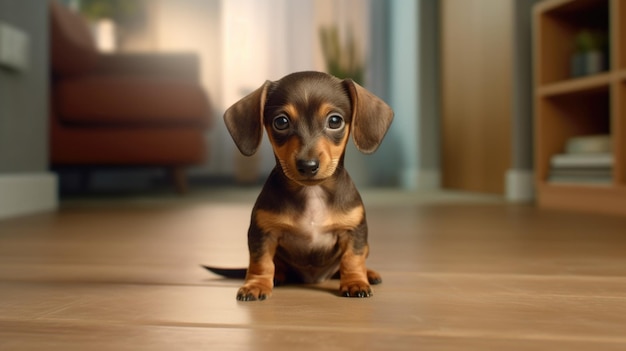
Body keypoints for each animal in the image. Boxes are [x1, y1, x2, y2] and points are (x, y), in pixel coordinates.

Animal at [212, 72, 392, 302]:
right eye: (281, 122)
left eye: (335, 121)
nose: (308, 165)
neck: (312, 193)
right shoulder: (262, 233)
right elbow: (261, 262)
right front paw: (256, 285)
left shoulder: (354, 231)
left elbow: (352, 259)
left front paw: (356, 282)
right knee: (277, 265)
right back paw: (278, 276)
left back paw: (369, 274)